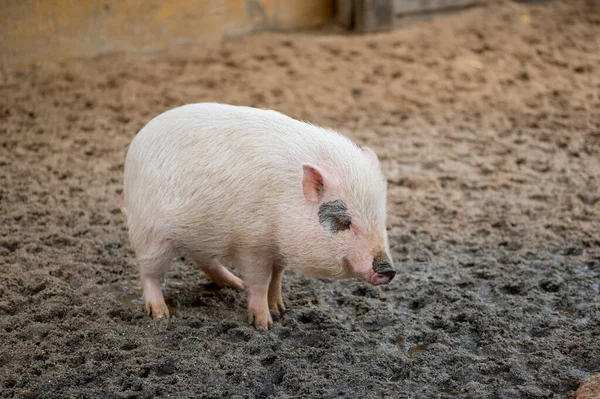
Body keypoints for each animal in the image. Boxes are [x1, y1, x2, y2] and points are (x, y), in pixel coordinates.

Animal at [121, 104, 394, 332]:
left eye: (381, 218)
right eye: (345, 223)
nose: (388, 269)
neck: (284, 204)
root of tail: (136, 141)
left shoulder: (277, 249)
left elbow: (277, 277)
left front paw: (281, 309)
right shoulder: (252, 244)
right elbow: (260, 281)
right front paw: (264, 325)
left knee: (203, 260)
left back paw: (234, 284)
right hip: (149, 231)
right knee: (148, 272)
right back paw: (160, 314)